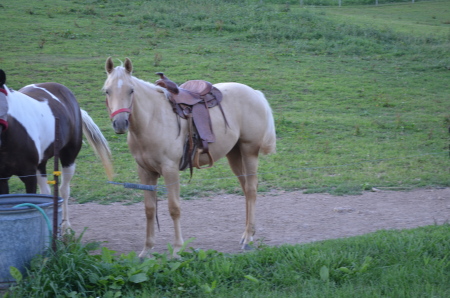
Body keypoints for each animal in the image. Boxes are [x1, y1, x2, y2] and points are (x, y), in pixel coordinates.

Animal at [0, 70, 112, 233]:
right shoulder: (2, 178)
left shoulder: (29, 175)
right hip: (41, 163)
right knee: (46, 192)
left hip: (68, 158)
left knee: (64, 190)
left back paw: (65, 226)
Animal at [103, 57, 276, 258]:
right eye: (107, 90)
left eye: (131, 90)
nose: (120, 123)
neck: (153, 118)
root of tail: (255, 93)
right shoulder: (145, 171)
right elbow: (149, 209)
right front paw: (146, 250)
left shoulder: (170, 170)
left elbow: (174, 208)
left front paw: (178, 249)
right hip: (234, 153)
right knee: (246, 189)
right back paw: (247, 234)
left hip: (249, 151)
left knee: (251, 190)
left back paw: (248, 238)